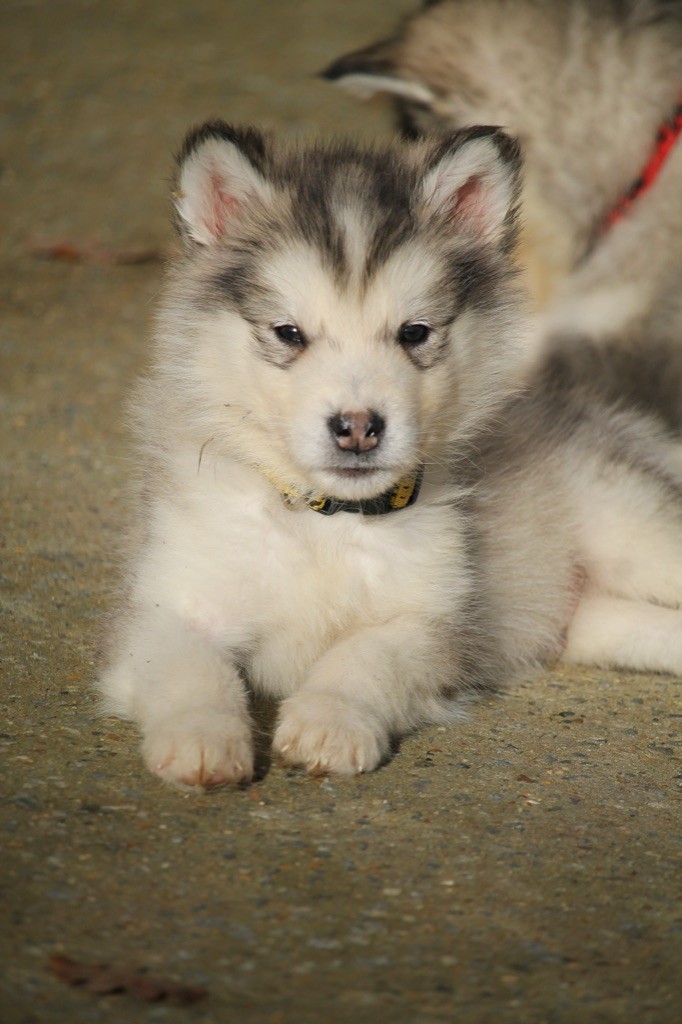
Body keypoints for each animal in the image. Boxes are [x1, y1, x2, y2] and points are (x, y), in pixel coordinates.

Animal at [100, 121, 679, 790]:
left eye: (414, 333)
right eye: (289, 333)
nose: (357, 428)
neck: (323, 523)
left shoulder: (432, 621)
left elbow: (362, 656)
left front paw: (327, 723)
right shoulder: (169, 606)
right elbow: (191, 668)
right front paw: (201, 738)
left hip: (636, 534)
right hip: (599, 621)